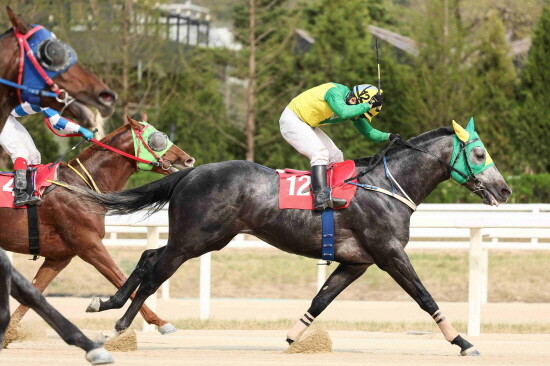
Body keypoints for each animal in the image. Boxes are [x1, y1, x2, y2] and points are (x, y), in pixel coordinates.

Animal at [0, 116, 196, 336]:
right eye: (158, 139)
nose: (188, 160)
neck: (80, 186)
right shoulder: (89, 245)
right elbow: (120, 277)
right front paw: (160, 322)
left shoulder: (59, 257)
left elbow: (34, 291)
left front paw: (10, 333)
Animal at [83, 119, 512, 354]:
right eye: (479, 154)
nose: (504, 190)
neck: (385, 186)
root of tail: (191, 172)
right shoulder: (389, 253)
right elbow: (424, 297)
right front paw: (463, 341)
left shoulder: (356, 262)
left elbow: (320, 300)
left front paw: (292, 339)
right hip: (196, 239)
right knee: (154, 271)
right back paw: (118, 325)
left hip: (200, 238)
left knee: (147, 257)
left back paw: (106, 303)